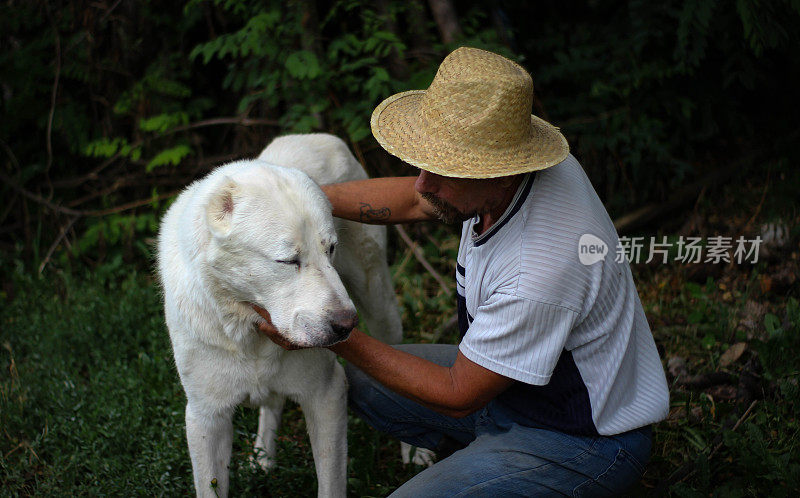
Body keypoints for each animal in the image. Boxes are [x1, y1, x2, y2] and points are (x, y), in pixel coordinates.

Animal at [157, 134, 404, 496]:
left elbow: (330, 484)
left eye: (331, 249)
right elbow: (211, 485)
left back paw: (416, 455)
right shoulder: (205, 416)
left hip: (379, 305)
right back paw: (263, 458)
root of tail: (321, 137)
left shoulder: (327, 395)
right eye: (288, 261)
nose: (347, 326)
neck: (247, 328)